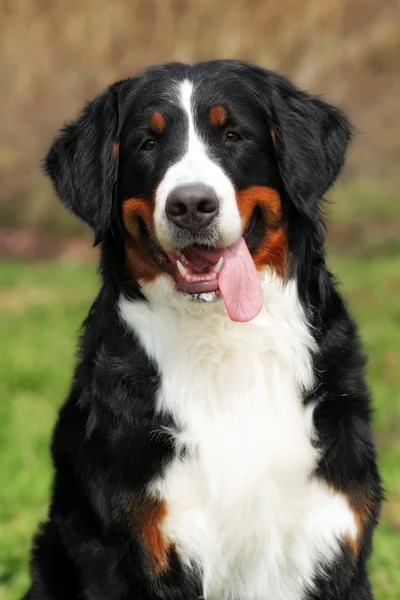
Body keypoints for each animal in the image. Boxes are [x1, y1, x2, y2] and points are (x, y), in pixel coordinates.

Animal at [24, 61, 382, 600]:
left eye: (233, 134)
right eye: (147, 143)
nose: (191, 205)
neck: (225, 344)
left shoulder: (334, 535)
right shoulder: (135, 549)